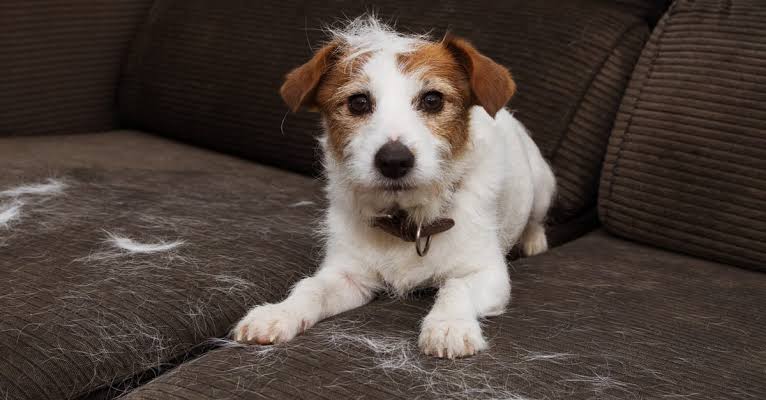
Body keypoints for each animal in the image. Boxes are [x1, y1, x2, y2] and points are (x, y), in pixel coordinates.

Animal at [234, 16, 560, 360]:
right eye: (358, 102)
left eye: (432, 99)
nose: (393, 160)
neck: (407, 221)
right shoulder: (348, 275)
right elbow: (311, 288)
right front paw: (278, 313)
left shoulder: (486, 273)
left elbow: (456, 287)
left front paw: (449, 325)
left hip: (542, 184)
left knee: (536, 218)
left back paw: (534, 241)